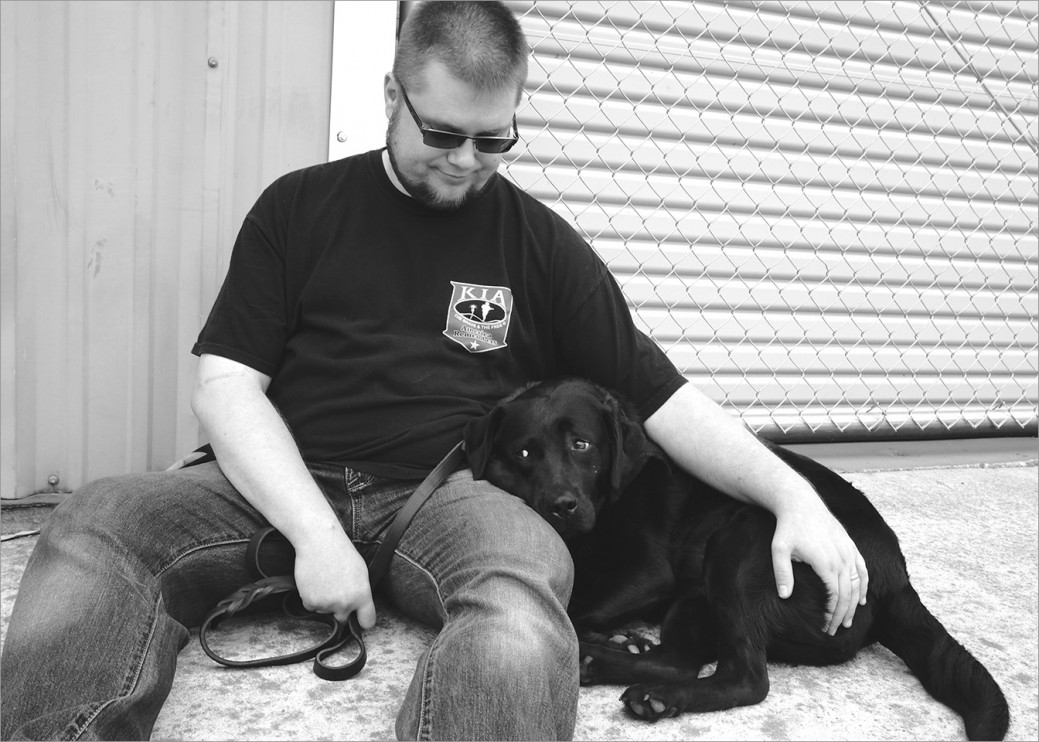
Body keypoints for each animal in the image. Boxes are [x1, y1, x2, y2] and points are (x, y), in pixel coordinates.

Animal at [467, 378, 1009, 735]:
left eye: (581, 444)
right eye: (523, 453)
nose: (561, 506)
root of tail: (897, 575)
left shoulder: (647, 571)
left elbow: (575, 607)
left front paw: (606, 634)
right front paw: (619, 638)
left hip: (743, 545)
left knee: (746, 679)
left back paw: (636, 683)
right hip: (699, 598)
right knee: (681, 660)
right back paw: (612, 663)